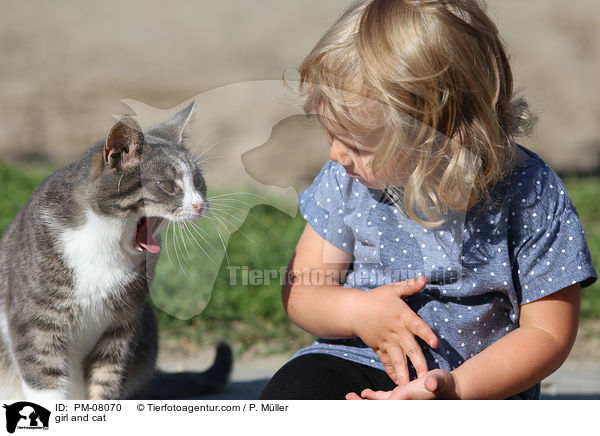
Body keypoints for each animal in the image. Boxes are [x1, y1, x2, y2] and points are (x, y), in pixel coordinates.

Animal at [0, 101, 232, 398]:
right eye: (168, 186)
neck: (103, 242)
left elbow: (107, 381)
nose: (201, 205)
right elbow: (44, 382)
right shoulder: (34, 324)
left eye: (198, 181)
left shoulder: (121, 328)